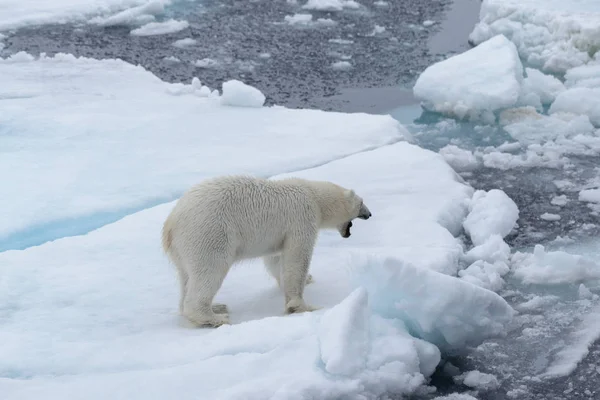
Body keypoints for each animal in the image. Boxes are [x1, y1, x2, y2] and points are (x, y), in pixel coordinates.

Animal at [162, 176, 372, 328]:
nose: (369, 214)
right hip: (210, 234)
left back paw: (215, 306)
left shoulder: (279, 236)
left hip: (184, 249)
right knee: (210, 271)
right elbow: (297, 258)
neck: (314, 196)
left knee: (187, 277)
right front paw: (301, 305)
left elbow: (276, 260)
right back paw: (215, 317)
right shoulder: (302, 219)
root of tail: (170, 225)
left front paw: (307, 279)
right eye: (361, 202)